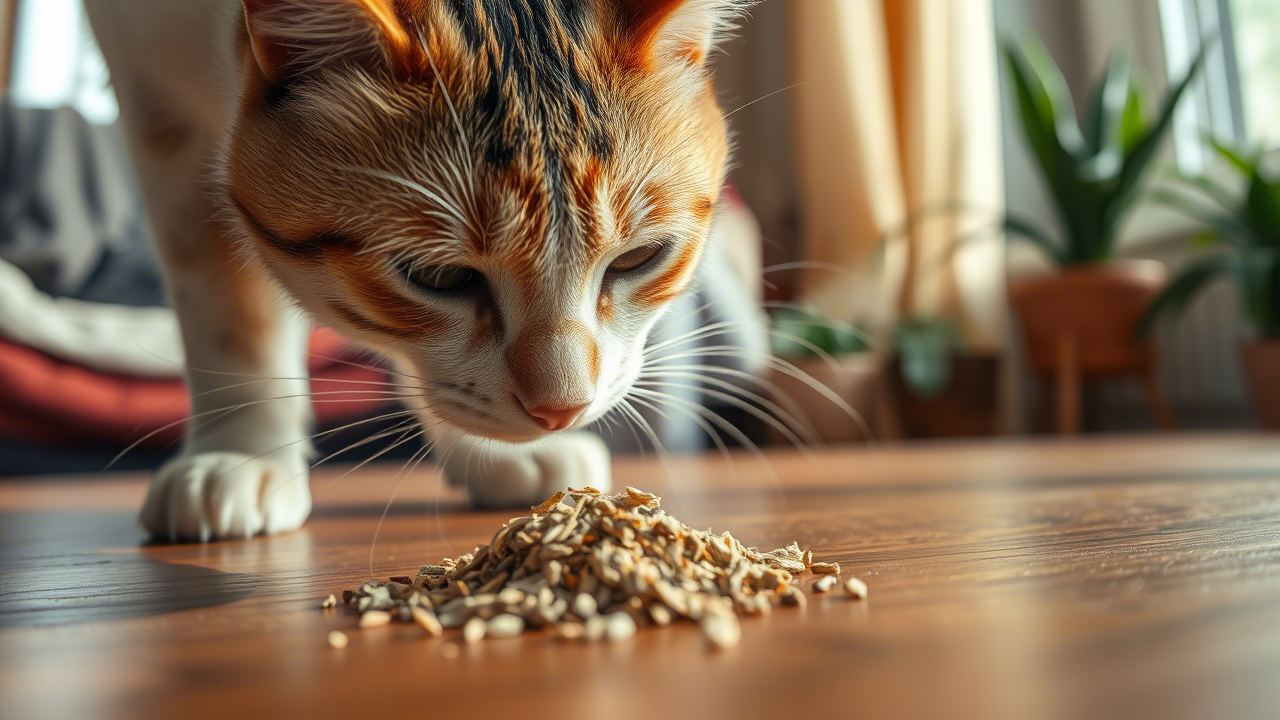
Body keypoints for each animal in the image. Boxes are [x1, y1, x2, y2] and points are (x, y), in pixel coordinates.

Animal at [82, 0, 747, 538]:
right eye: (440, 277)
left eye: (639, 257)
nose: (559, 411)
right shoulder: (152, 103)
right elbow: (226, 308)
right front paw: (240, 451)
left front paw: (488, 452)